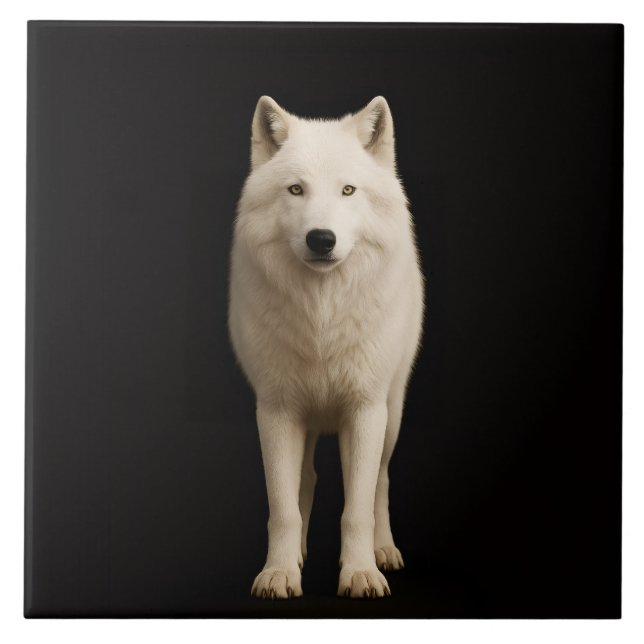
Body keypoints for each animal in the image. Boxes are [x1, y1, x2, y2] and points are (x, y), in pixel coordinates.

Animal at [228, 95, 425, 599]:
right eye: (296, 190)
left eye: (348, 191)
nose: (321, 239)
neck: (322, 317)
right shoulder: (275, 411)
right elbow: (282, 507)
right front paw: (279, 572)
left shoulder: (365, 409)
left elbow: (356, 509)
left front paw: (360, 573)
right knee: (306, 479)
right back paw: (297, 555)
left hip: (392, 414)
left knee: (380, 482)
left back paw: (383, 551)